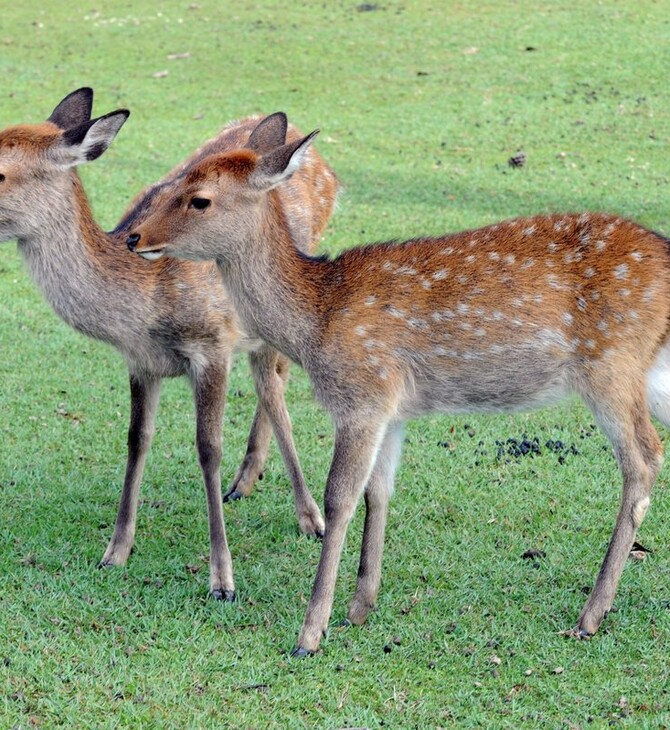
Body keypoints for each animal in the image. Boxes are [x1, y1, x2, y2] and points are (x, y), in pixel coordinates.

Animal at [0, 89, 338, 596]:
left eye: (0, 171)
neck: (145, 305)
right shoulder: (140, 363)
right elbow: (136, 440)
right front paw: (115, 552)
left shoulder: (213, 344)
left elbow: (208, 447)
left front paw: (223, 579)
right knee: (271, 385)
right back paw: (247, 481)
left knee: (274, 386)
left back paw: (308, 516)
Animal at [126, 115, 670, 656]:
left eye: (199, 199)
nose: (133, 236)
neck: (316, 320)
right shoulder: (392, 410)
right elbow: (379, 492)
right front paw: (359, 607)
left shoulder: (362, 395)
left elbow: (340, 499)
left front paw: (310, 632)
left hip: (611, 365)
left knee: (644, 458)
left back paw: (591, 615)